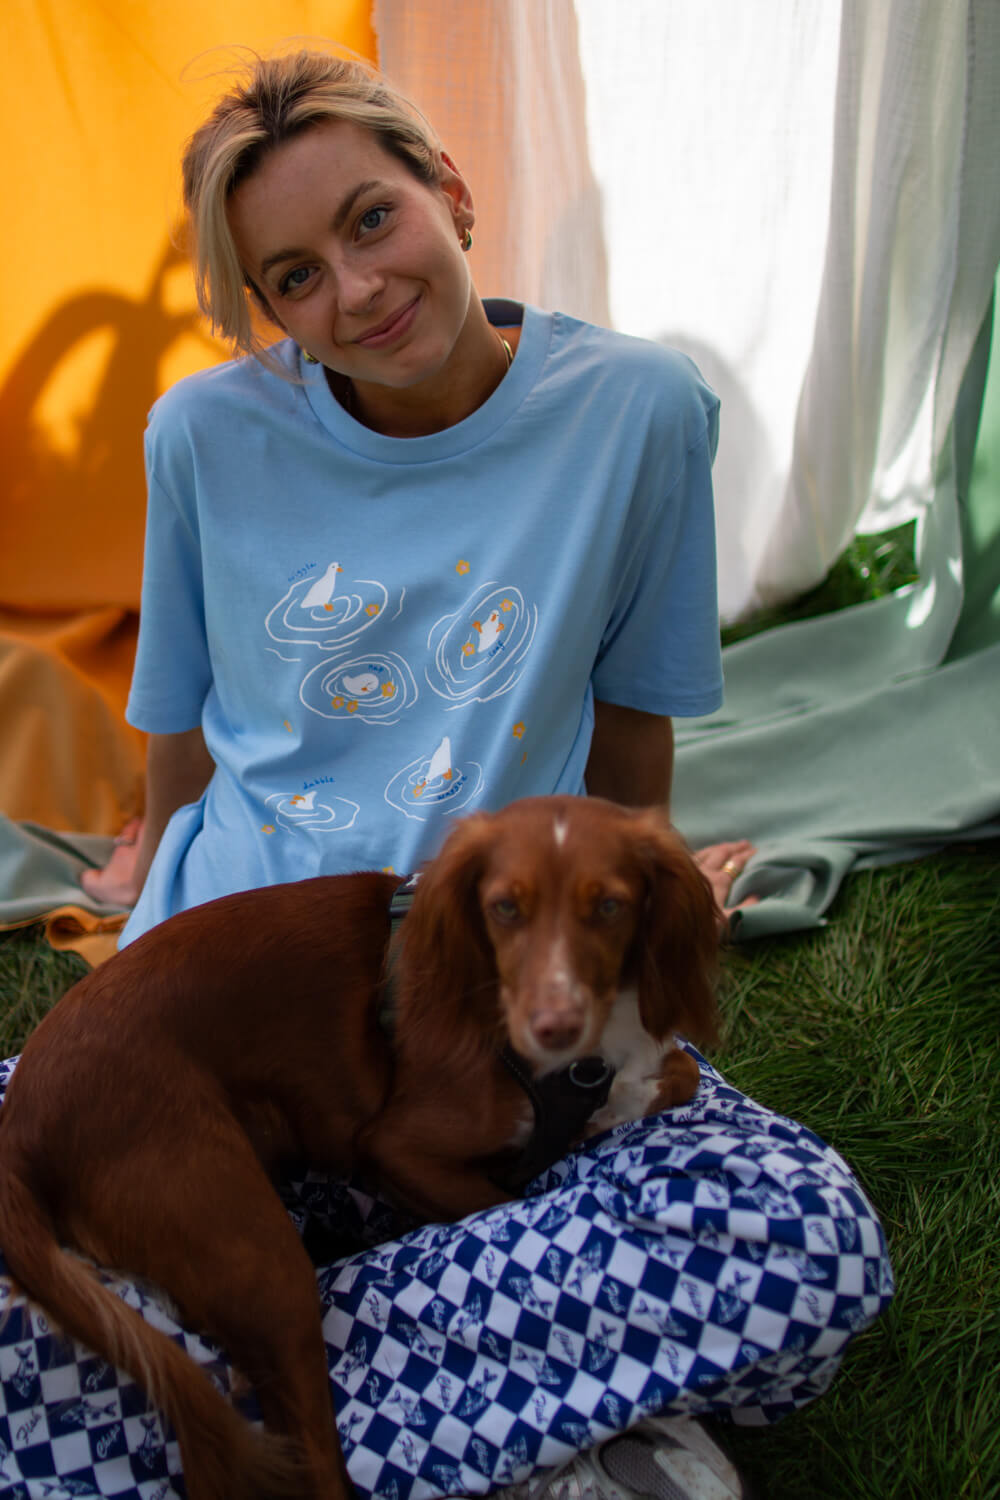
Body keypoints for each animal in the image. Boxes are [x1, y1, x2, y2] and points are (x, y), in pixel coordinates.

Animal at [0, 804, 719, 1494]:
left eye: (611, 906)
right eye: (505, 908)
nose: (554, 1027)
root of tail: (20, 1120)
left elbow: (674, 1072)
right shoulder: (397, 1146)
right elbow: (498, 1187)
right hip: (257, 1255)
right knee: (307, 1463)